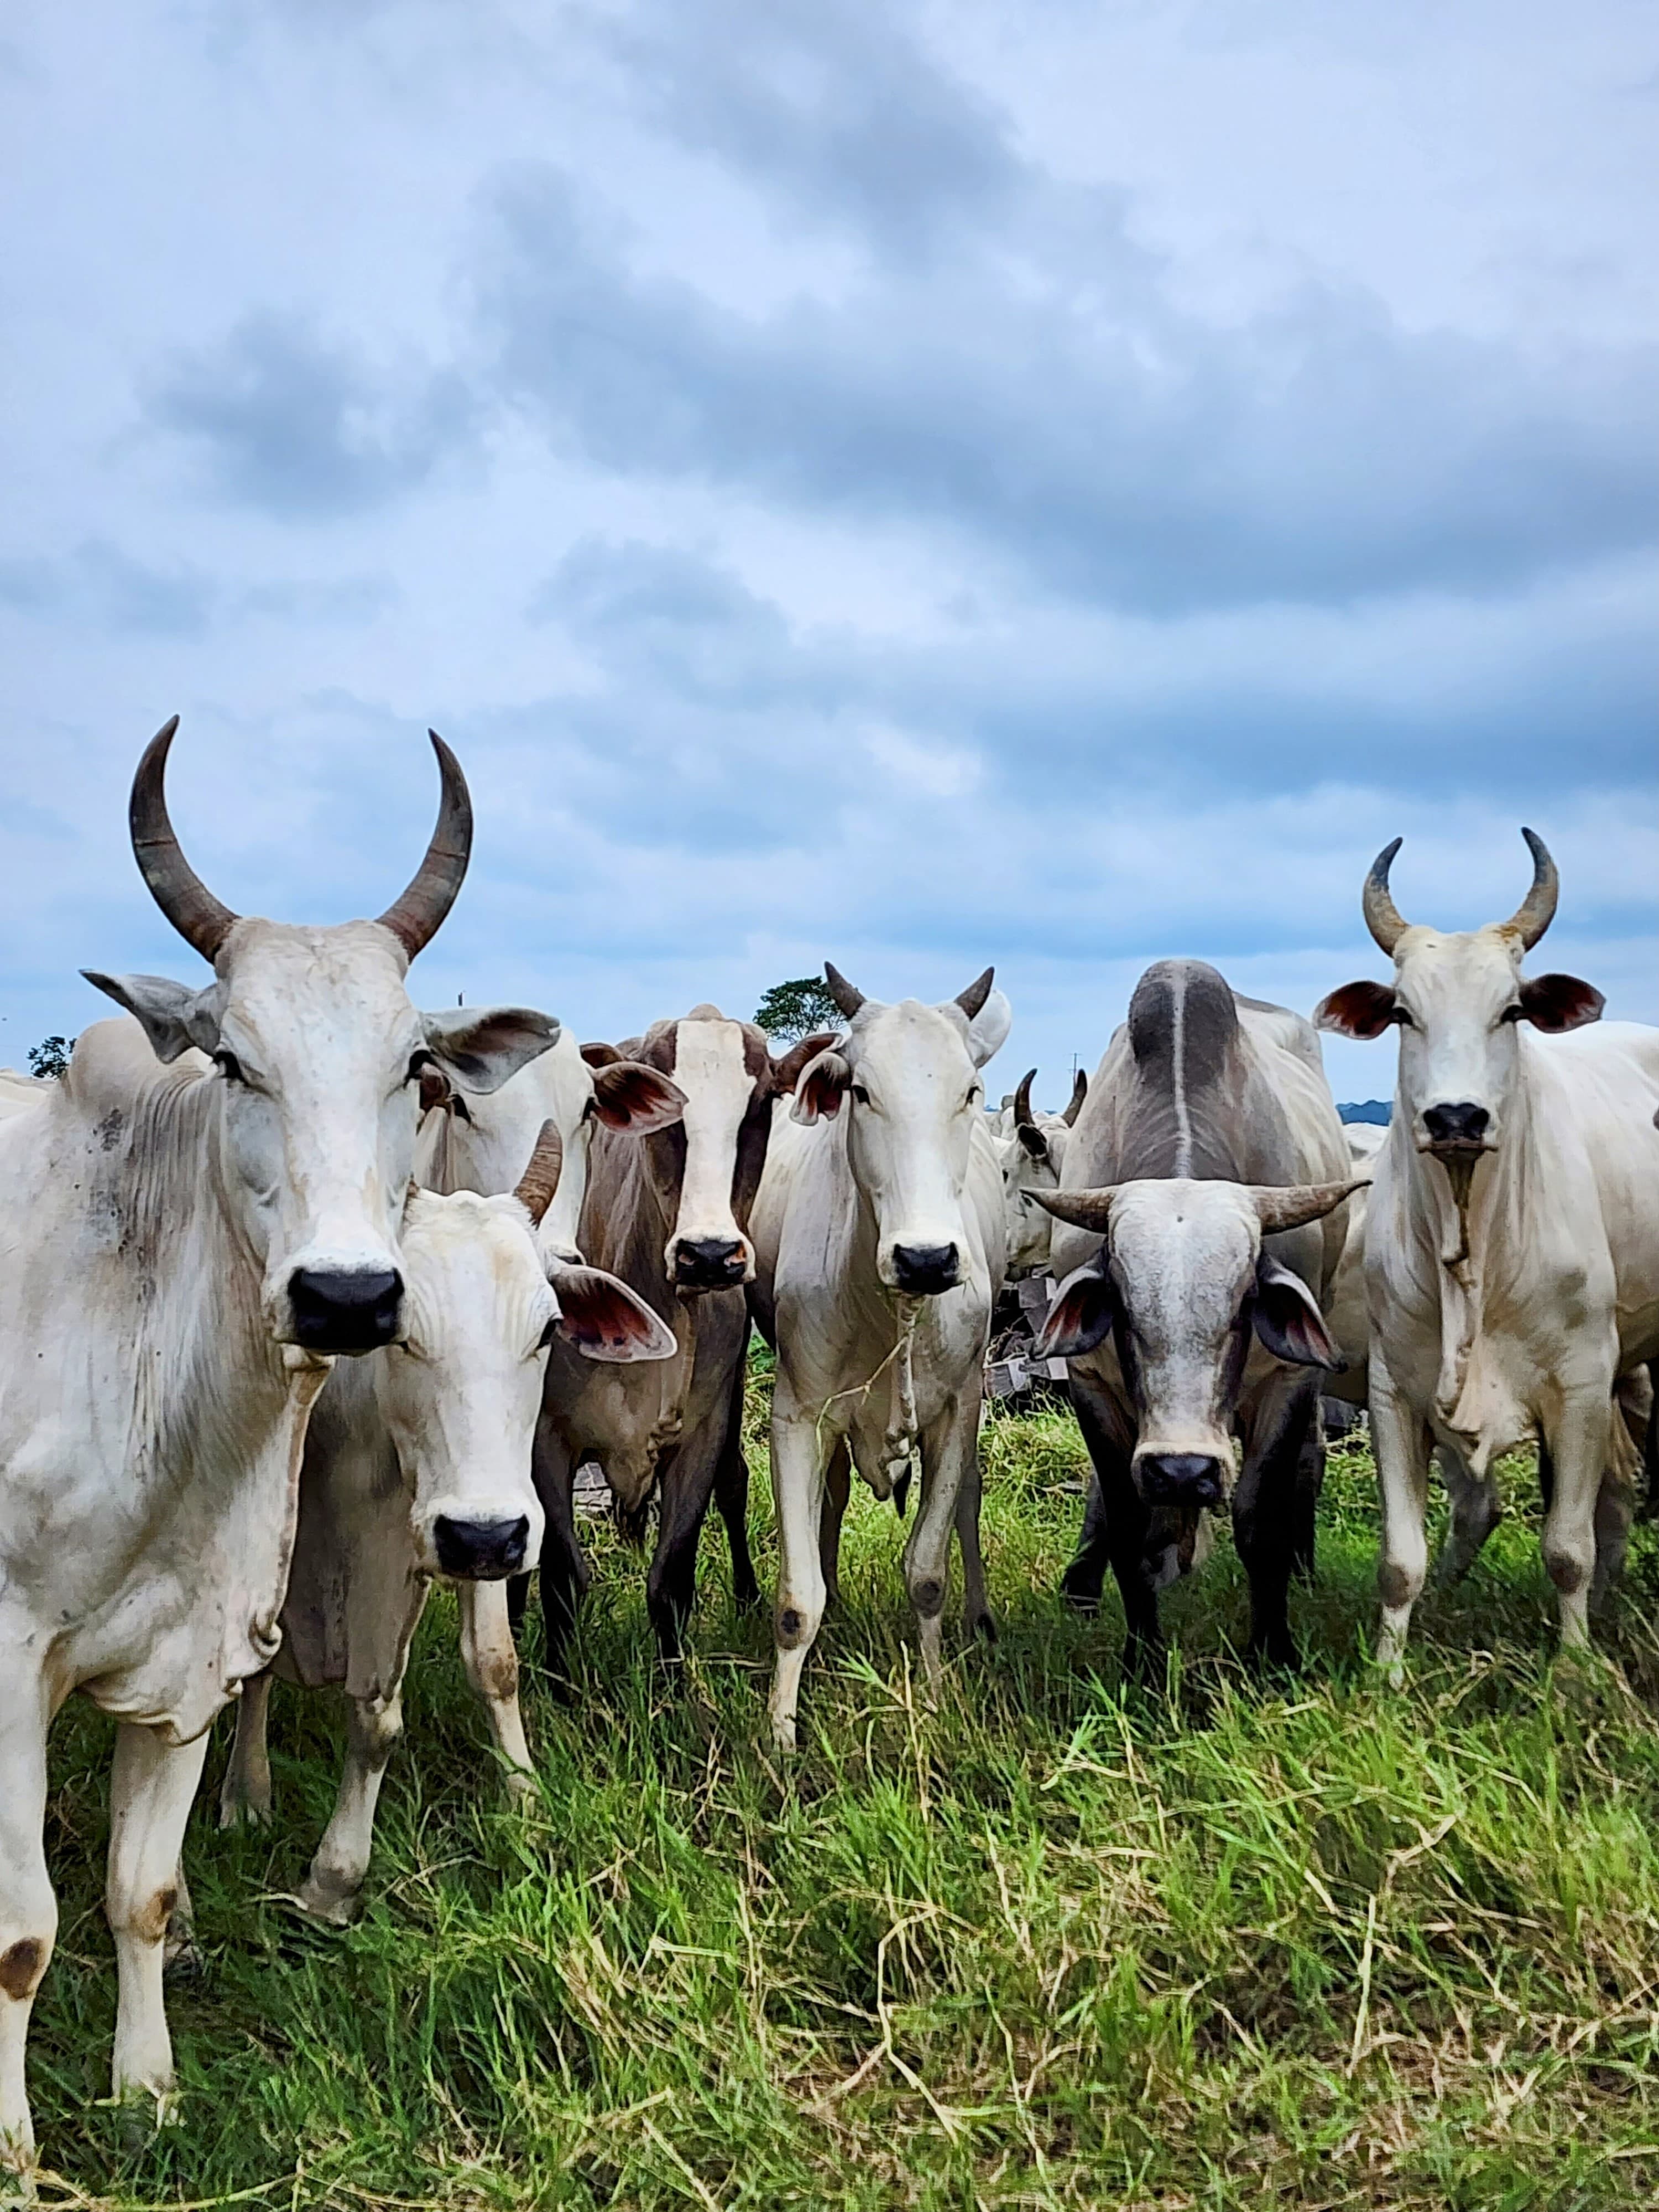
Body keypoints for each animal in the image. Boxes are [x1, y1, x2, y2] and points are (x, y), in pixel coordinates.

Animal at [0, 721, 560, 2177]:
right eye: (234, 1060)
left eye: (412, 1067)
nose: (349, 1296)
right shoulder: (9, 1660)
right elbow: (22, 1929)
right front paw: (17, 2146)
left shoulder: (196, 1646)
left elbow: (138, 1892)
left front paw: (145, 2092)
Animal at [221, 1124, 677, 1920]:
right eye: (398, 1329)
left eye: (548, 1329)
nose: (484, 1537)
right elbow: (287, 1676)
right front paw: (306, 1852)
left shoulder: (473, 1515)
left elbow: (482, 1669)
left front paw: (525, 1800)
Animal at [752, 960, 1013, 1752]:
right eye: (860, 1091)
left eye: (970, 1091)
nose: (926, 1257)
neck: (892, 1308)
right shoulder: (797, 1418)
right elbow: (796, 1597)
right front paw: (781, 1733)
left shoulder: (957, 1412)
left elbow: (927, 1569)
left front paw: (933, 1698)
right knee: (832, 1503)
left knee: (966, 1502)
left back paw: (980, 1618)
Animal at [1327, 836, 1659, 1663]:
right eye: (1403, 1012)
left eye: (1511, 1009)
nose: (1456, 1117)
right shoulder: (1393, 1391)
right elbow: (1400, 1560)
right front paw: (1387, 1671)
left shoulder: (1581, 1383)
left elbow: (1566, 1546)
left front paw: (1573, 1668)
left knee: (1611, 1501)